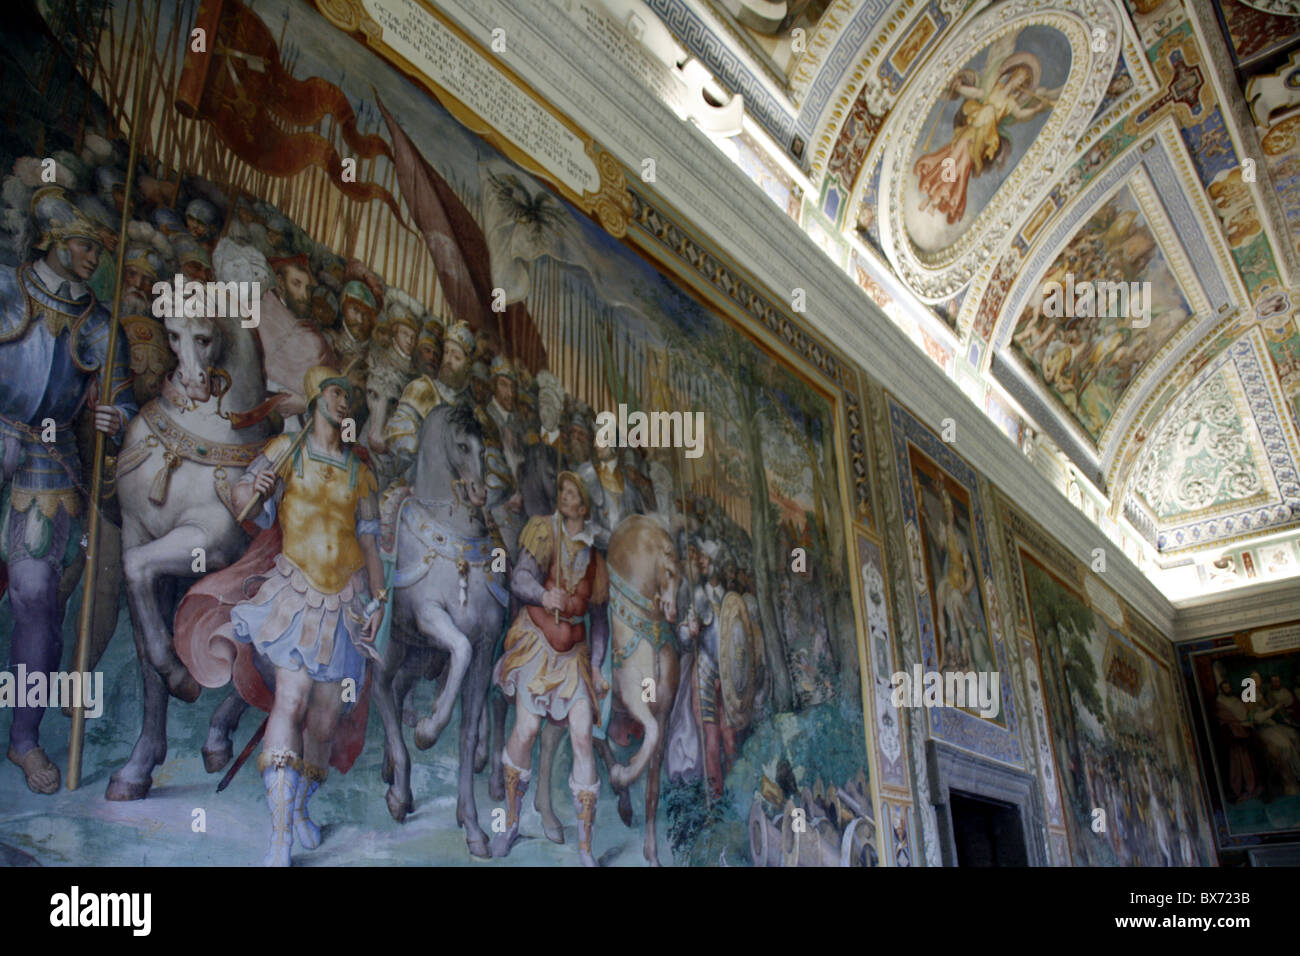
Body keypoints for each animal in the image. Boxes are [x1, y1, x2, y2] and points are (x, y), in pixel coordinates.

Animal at [109, 314, 274, 801]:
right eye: (170, 332)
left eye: (205, 335)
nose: (192, 384)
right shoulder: (135, 535)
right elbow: (147, 653)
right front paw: (137, 767)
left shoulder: (207, 544)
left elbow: (138, 568)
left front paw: (182, 679)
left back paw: (220, 735)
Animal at [377, 400, 506, 858]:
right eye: (461, 445)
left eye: (485, 447)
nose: (480, 493)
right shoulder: (431, 617)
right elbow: (460, 649)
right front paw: (428, 732)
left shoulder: (487, 644)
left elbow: (467, 733)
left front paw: (473, 827)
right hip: (398, 644)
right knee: (381, 689)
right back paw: (398, 793)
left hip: (419, 654)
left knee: (397, 689)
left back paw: (394, 772)